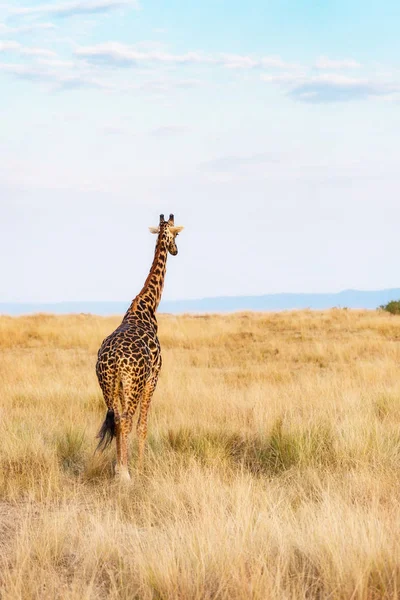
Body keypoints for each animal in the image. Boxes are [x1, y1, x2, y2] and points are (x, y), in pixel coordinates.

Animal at [95, 213, 184, 480]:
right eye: (176, 234)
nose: (175, 250)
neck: (146, 306)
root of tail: (114, 359)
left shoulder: (125, 385)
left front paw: (124, 466)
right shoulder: (153, 376)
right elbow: (143, 425)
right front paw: (142, 468)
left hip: (108, 383)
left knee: (116, 419)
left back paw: (119, 470)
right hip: (133, 383)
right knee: (125, 420)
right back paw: (125, 474)